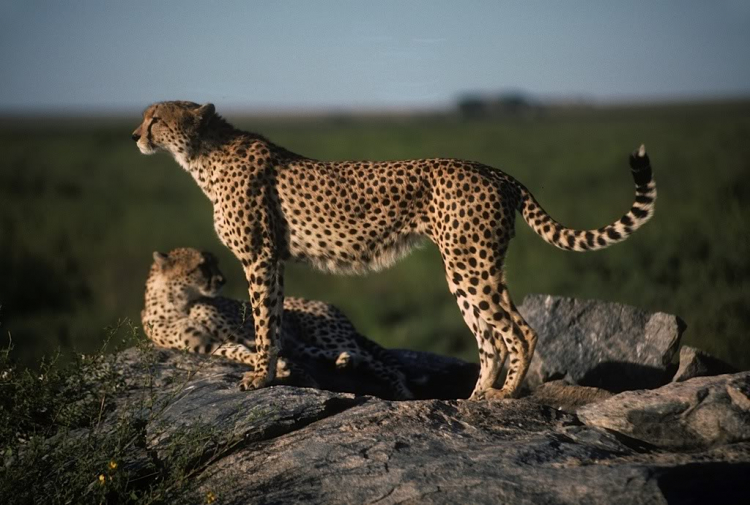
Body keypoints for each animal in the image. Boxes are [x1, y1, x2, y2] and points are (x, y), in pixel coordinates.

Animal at [141, 246, 412, 400]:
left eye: (215, 263)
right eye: (201, 266)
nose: (221, 280)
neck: (179, 301)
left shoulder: (240, 333)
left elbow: (259, 349)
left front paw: (278, 369)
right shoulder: (207, 344)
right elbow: (239, 352)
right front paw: (280, 370)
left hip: (326, 334)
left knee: (380, 363)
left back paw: (402, 391)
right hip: (304, 345)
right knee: (343, 355)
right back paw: (343, 361)